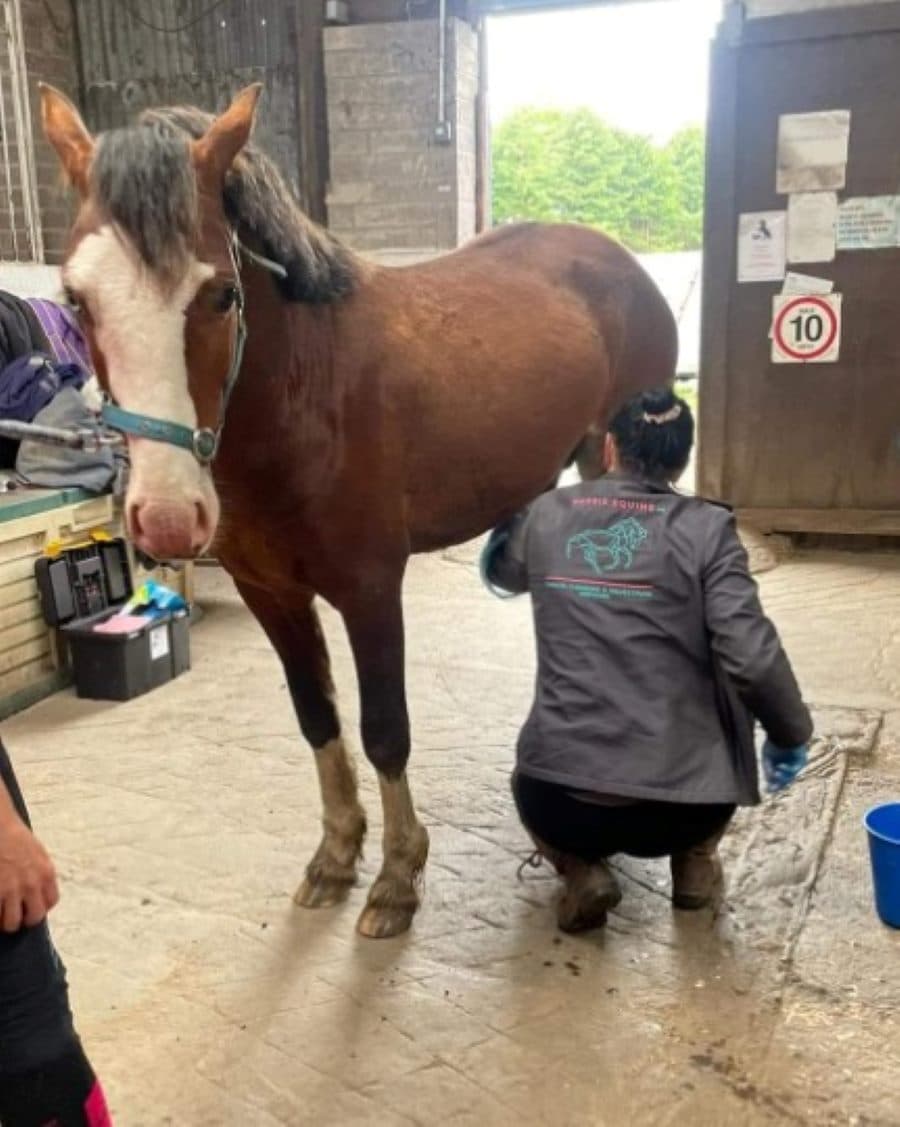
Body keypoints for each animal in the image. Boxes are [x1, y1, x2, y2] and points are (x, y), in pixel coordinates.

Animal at [40, 84, 677, 938]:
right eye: (76, 298)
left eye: (222, 294)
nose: (168, 518)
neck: (310, 390)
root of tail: (617, 259)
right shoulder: (270, 593)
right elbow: (319, 718)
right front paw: (336, 855)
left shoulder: (372, 588)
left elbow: (384, 731)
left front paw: (398, 877)